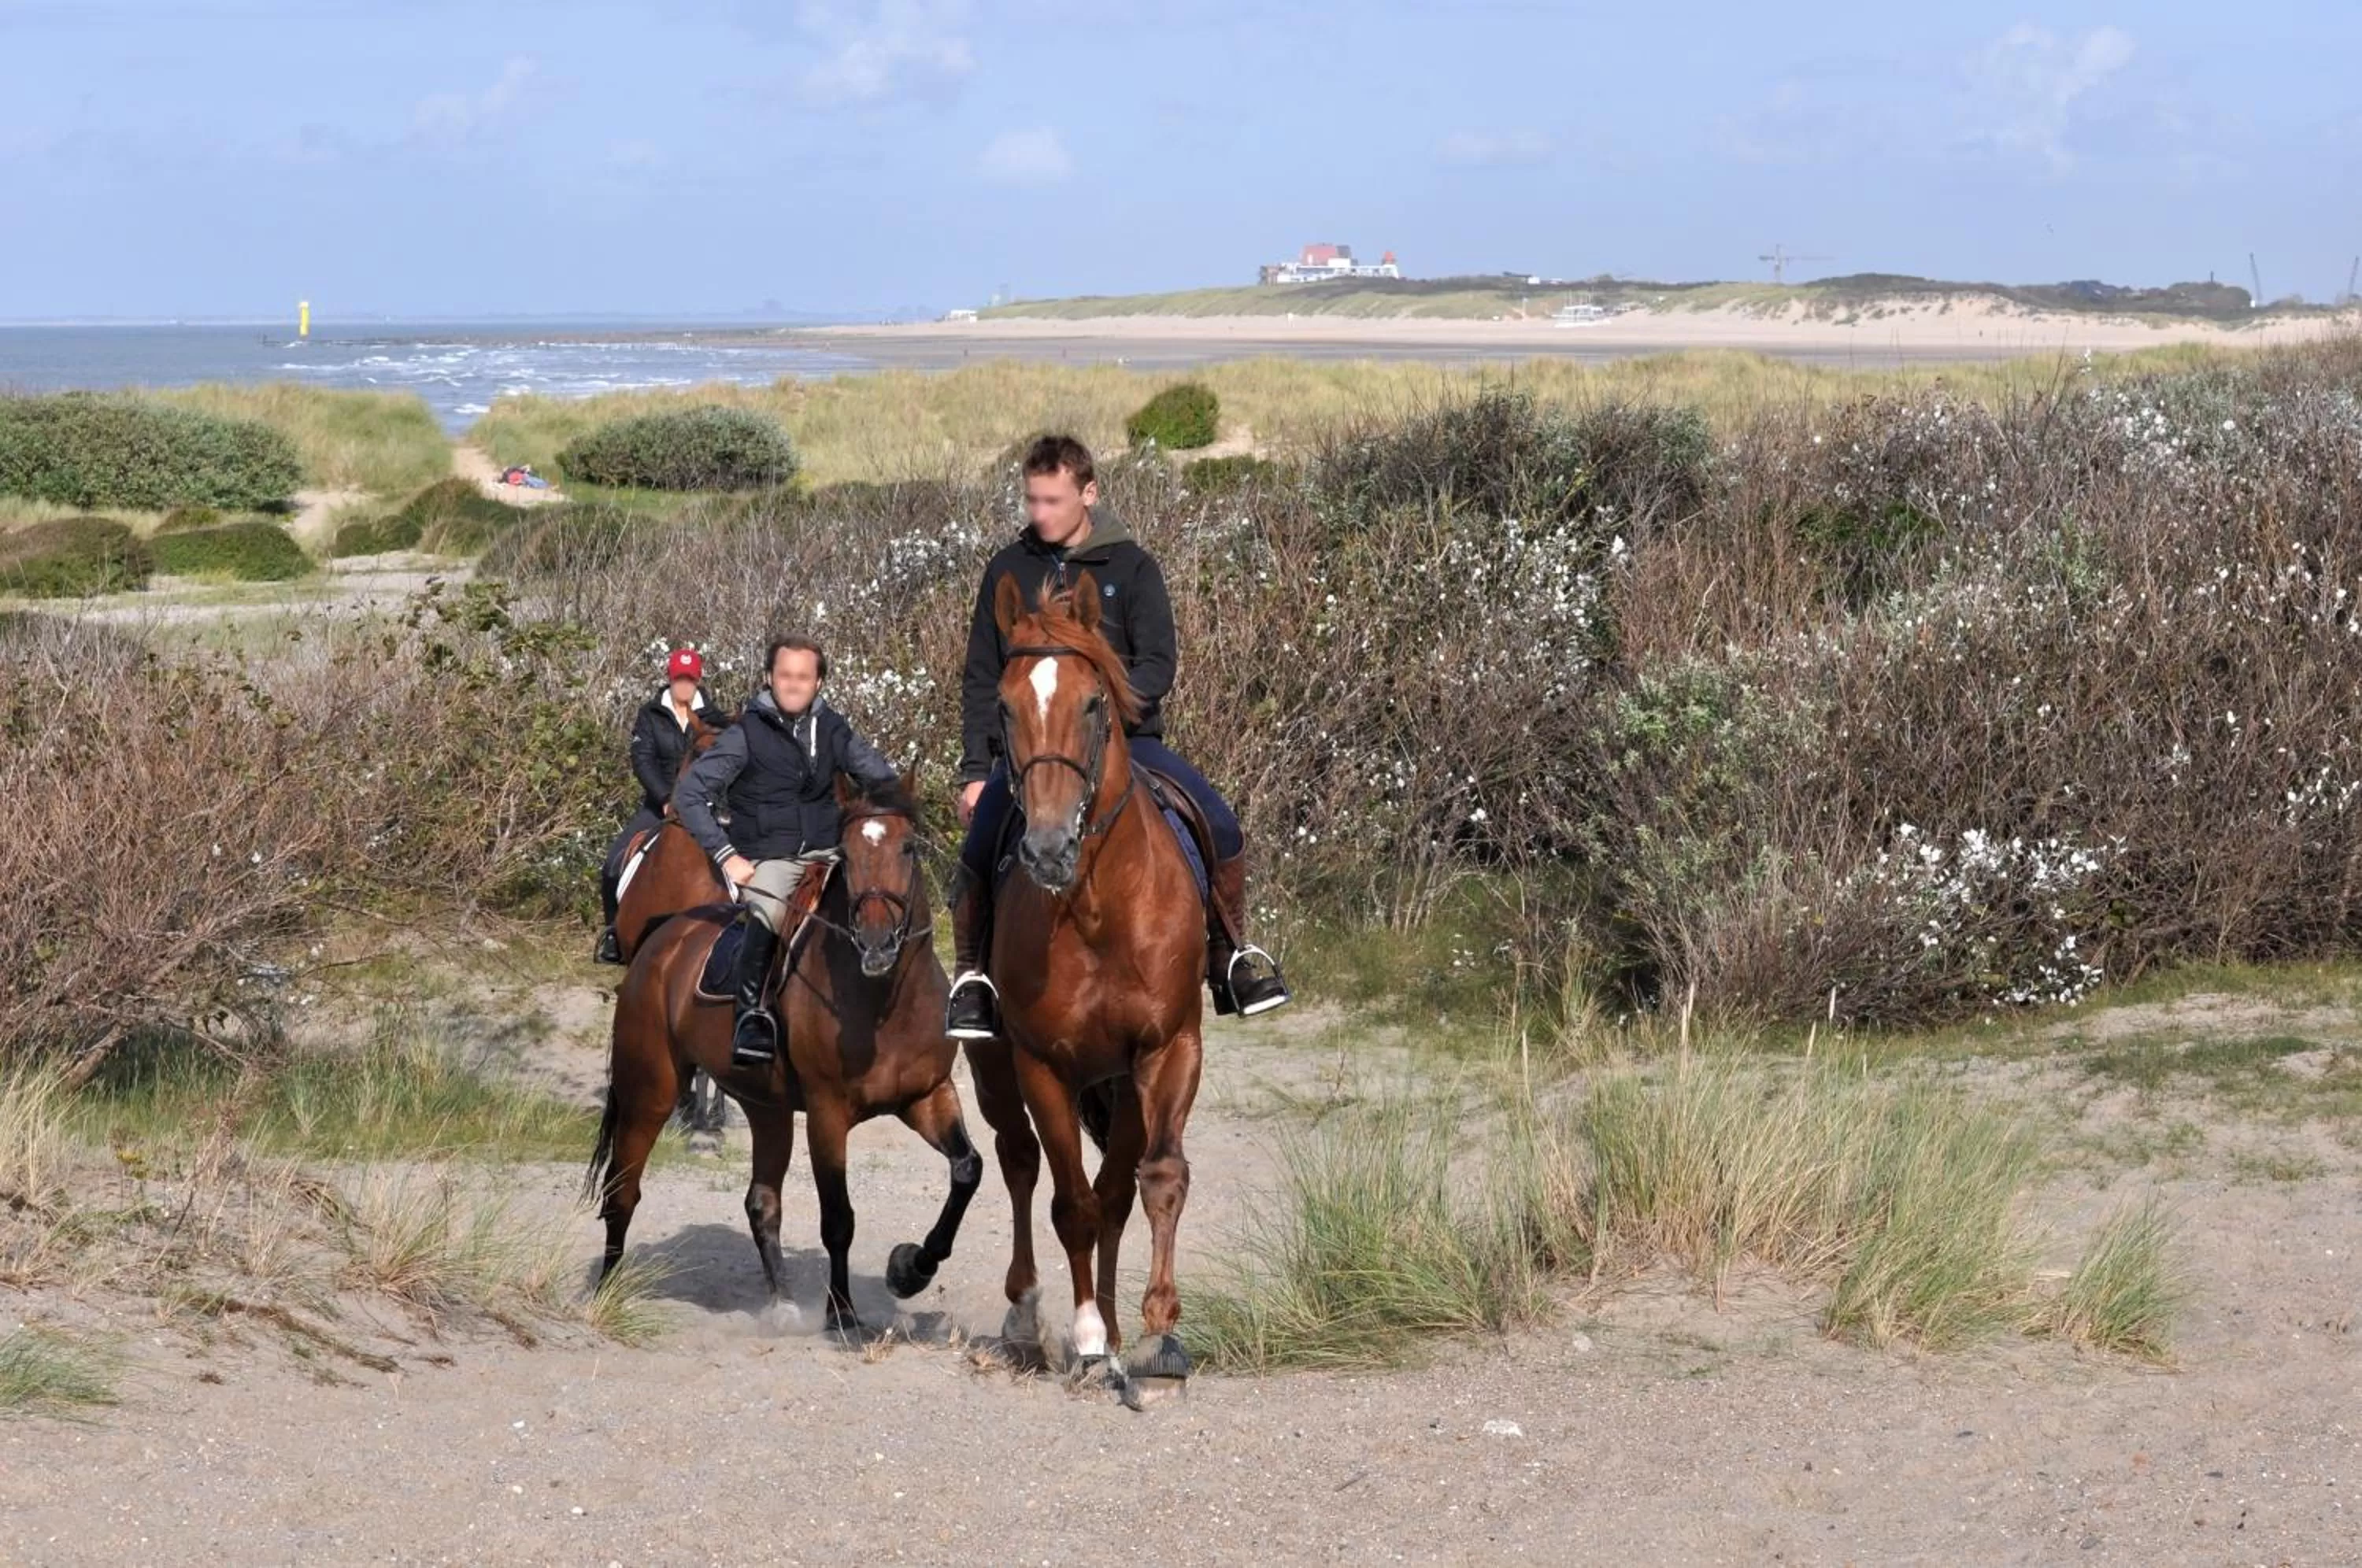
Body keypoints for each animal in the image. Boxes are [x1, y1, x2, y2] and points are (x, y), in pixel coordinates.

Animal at [587, 770, 985, 1334]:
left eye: (908, 848)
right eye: (847, 852)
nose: (877, 943)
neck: (885, 1001)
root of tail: (663, 936)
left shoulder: (927, 1096)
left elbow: (967, 1170)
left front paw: (910, 1269)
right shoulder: (827, 1114)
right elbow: (839, 1218)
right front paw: (842, 1313)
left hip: (767, 1109)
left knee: (762, 1202)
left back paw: (782, 1305)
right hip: (650, 1092)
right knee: (623, 1188)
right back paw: (607, 1292)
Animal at [965, 571, 1206, 1389]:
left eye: (1095, 702)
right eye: (1005, 707)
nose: (1045, 850)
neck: (1099, 906)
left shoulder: (1167, 1049)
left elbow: (1155, 1181)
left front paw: (1158, 1332)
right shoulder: (1043, 1065)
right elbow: (1068, 1202)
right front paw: (1091, 1336)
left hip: (1124, 1087)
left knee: (1117, 1193)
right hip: (995, 1070)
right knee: (1018, 1162)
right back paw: (1025, 1315)